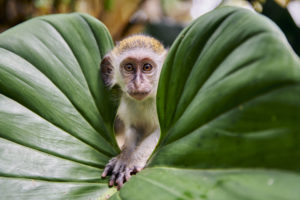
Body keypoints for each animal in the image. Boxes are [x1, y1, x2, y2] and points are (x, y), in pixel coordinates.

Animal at [100, 34, 166, 189]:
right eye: (129, 67)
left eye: (147, 67)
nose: (137, 83)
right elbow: (133, 129)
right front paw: (124, 157)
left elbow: (161, 131)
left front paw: (133, 162)